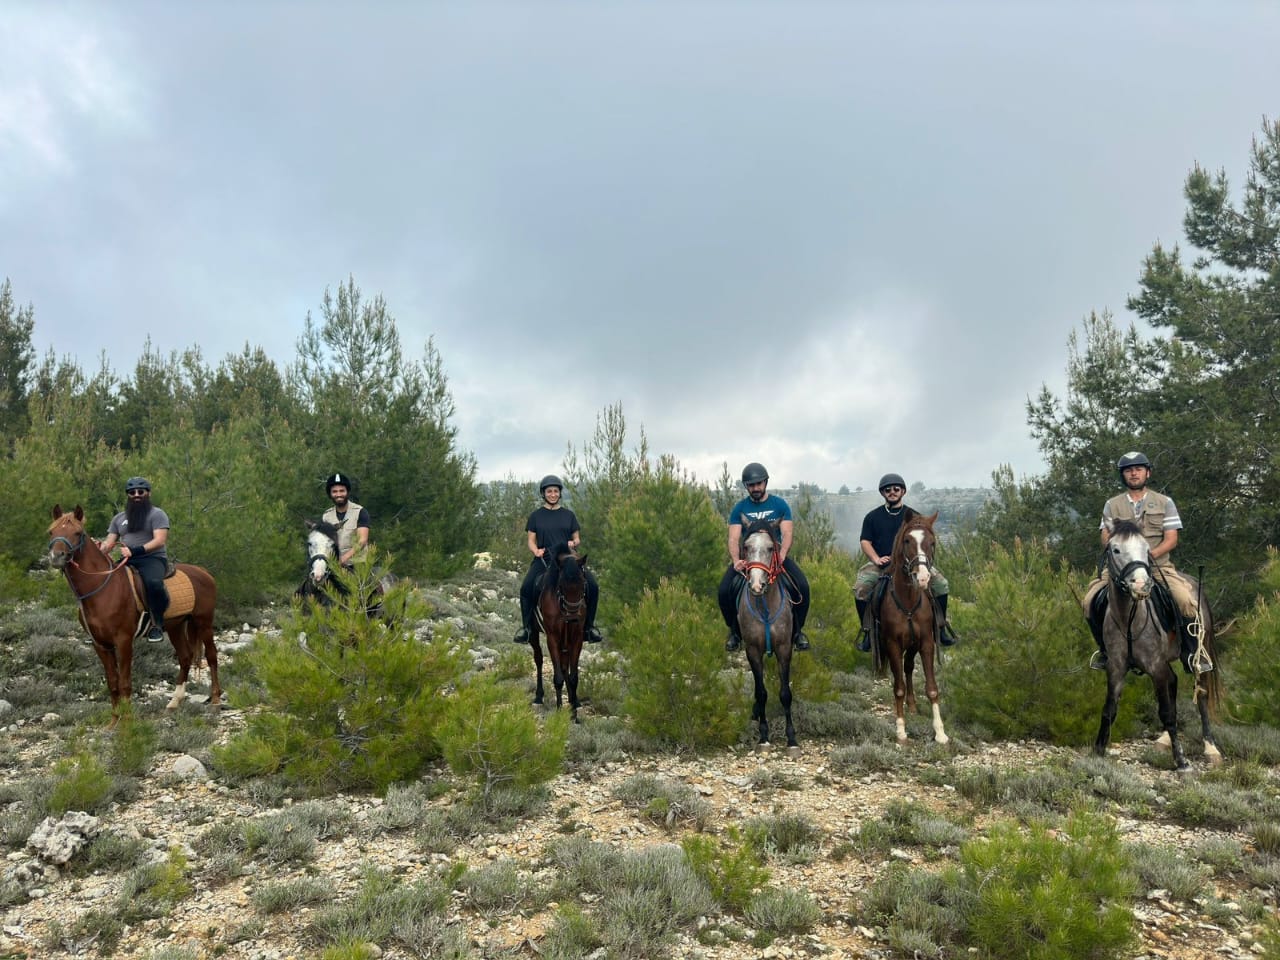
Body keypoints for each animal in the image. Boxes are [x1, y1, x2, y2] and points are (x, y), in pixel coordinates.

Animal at [46, 506, 222, 727]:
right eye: (51, 531)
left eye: (78, 533)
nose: (56, 556)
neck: (101, 589)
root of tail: (203, 572)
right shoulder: (100, 644)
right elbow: (112, 683)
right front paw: (113, 721)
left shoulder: (123, 641)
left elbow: (125, 682)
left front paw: (128, 720)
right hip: (175, 627)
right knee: (185, 657)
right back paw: (174, 702)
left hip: (204, 623)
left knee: (212, 656)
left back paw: (215, 700)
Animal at [527, 545, 586, 727]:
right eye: (561, 584)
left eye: (583, 583)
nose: (573, 616)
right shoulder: (552, 638)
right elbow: (558, 676)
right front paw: (560, 712)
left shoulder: (577, 638)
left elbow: (573, 677)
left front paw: (574, 713)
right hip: (535, 635)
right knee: (539, 659)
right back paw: (539, 697)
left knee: (565, 667)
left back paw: (575, 701)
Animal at [870, 512, 952, 742]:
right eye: (907, 541)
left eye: (932, 543)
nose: (922, 577)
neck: (907, 602)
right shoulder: (893, 645)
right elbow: (898, 687)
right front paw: (900, 731)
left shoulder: (926, 643)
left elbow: (932, 688)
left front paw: (940, 733)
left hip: (913, 645)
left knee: (907, 668)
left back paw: (913, 705)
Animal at [1095, 522, 1223, 773]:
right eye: (1116, 549)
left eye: (1146, 549)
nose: (1141, 584)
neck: (1129, 619)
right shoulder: (1116, 668)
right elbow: (1109, 709)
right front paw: (1098, 751)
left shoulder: (1156, 668)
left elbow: (1167, 713)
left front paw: (1182, 762)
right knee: (1174, 684)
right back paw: (1164, 741)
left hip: (1196, 657)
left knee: (1201, 694)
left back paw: (1211, 749)